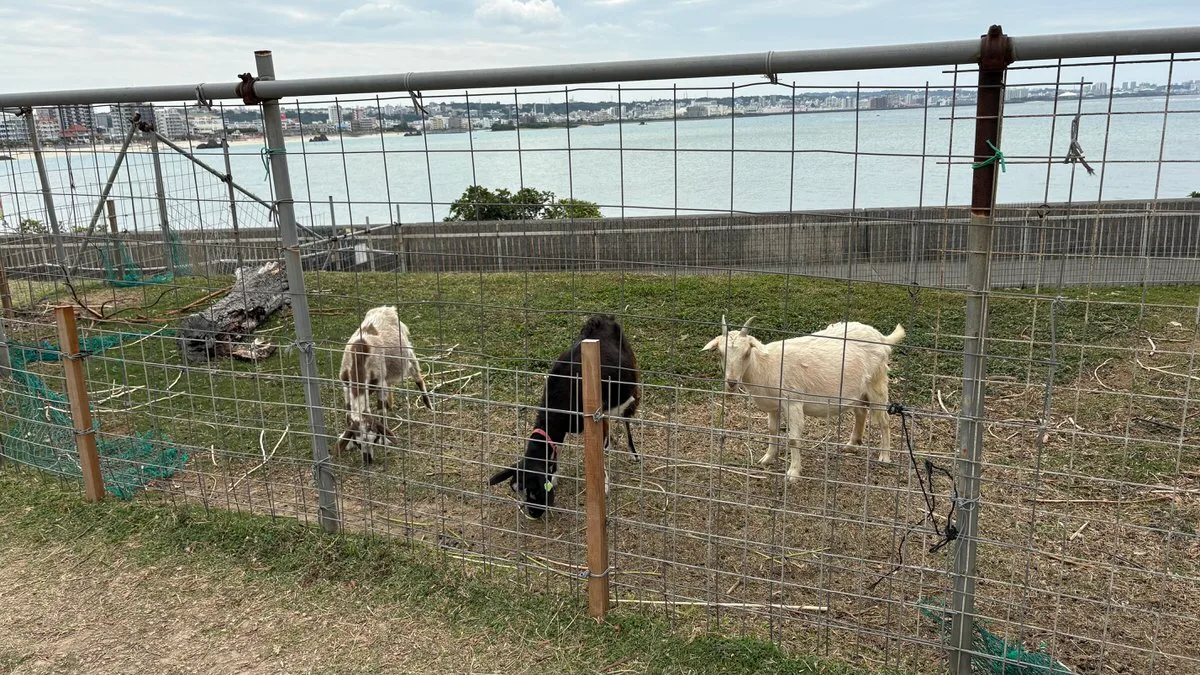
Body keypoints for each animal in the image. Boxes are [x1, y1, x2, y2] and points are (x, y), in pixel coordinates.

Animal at [335, 305, 433, 464]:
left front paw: (385, 440)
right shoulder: (346, 385)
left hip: (408, 354)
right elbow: (348, 410)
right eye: (358, 443)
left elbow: (381, 410)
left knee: (418, 377)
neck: (359, 360)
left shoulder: (380, 383)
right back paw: (391, 404)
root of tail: (387, 308)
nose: (368, 460)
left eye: (374, 439)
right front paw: (348, 443)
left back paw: (429, 405)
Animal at [489, 314, 640, 520]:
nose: (533, 514)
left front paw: (605, 485)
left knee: (626, 415)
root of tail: (603, 319)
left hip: (630, 378)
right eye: (517, 491)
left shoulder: (596, 414)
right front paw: (555, 475)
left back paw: (634, 453)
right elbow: (557, 449)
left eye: (534, 492)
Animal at [702, 316, 904, 481]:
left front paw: (793, 473)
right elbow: (772, 431)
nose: (731, 382)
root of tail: (883, 338)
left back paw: (884, 457)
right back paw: (851, 445)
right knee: (861, 412)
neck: (765, 365)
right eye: (720, 353)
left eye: (746, 353)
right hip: (857, 390)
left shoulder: (793, 401)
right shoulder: (774, 406)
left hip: (877, 383)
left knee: (884, 420)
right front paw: (767, 458)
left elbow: (793, 438)